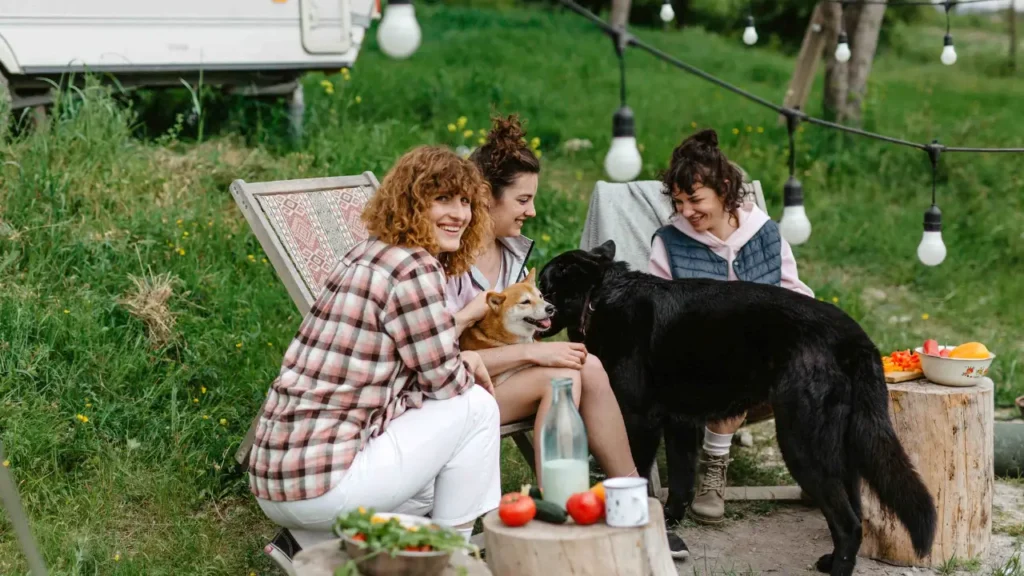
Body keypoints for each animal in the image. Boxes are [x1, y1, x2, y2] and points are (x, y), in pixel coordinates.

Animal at [540, 238, 937, 573]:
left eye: (543, 284)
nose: (532, 295)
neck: (601, 296)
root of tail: (857, 339)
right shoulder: (680, 423)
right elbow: (681, 485)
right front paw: (668, 527)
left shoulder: (641, 420)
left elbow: (635, 475)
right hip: (841, 451)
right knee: (854, 514)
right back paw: (830, 561)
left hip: (801, 444)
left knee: (849, 524)